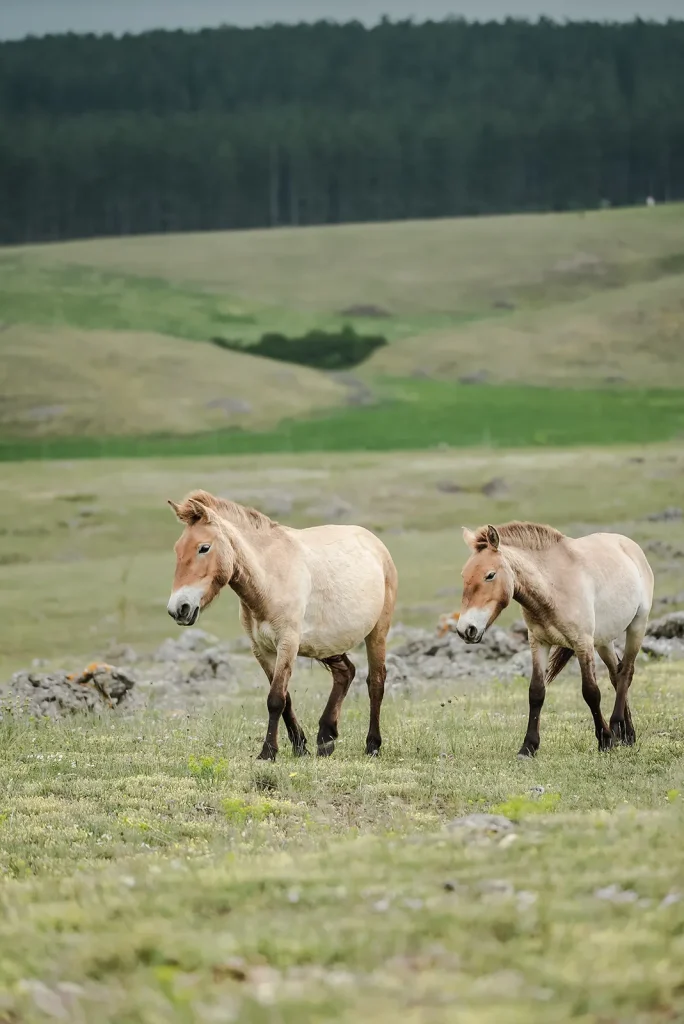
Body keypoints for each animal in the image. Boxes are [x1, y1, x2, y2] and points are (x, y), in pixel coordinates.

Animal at [166, 490, 398, 761]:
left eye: (204, 547)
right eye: (177, 549)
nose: (178, 608)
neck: (270, 578)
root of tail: (375, 544)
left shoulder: (288, 642)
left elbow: (276, 699)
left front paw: (268, 752)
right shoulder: (262, 649)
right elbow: (285, 698)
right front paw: (300, 746)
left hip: (377, 632)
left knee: (376, 683)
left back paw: (372, 745)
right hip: (326, 642)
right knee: (345, 673)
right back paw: (326, 739)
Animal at [456, 521, 654, 756]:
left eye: (490, 575)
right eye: (464, 576)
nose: (465, 629)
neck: (553, 587)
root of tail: (629, 545)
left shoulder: (582, 643)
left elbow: (591, 692)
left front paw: (605, 740)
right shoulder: (539, 642)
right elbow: (536, 692)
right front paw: (528, 747)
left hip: (637, 626)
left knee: (626, 674)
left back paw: (616, 727)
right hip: (604, 640)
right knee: (616, 674)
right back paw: (628, 734)